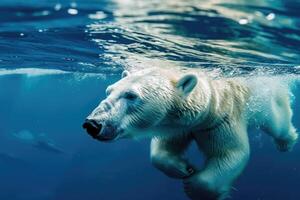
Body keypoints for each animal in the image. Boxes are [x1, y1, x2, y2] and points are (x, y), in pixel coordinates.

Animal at [82, 67, 298, 200]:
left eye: (131, 95)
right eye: (109, 90)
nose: (92, 124)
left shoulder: (220, 122)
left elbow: (231, 153)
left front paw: (193, 185)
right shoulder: (178, 126)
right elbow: (161, 152)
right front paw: (185, 168)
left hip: (264, 100)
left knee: (277, 122)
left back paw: (287, 141)